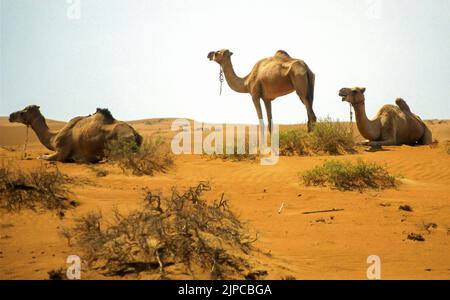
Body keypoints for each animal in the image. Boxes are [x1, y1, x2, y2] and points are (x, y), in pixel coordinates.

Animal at [8, 105, 142, 162]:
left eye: (24, 111)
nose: (10, 115)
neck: (53, 138)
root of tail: (136, 134)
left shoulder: (61, 152)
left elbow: (41, 157)